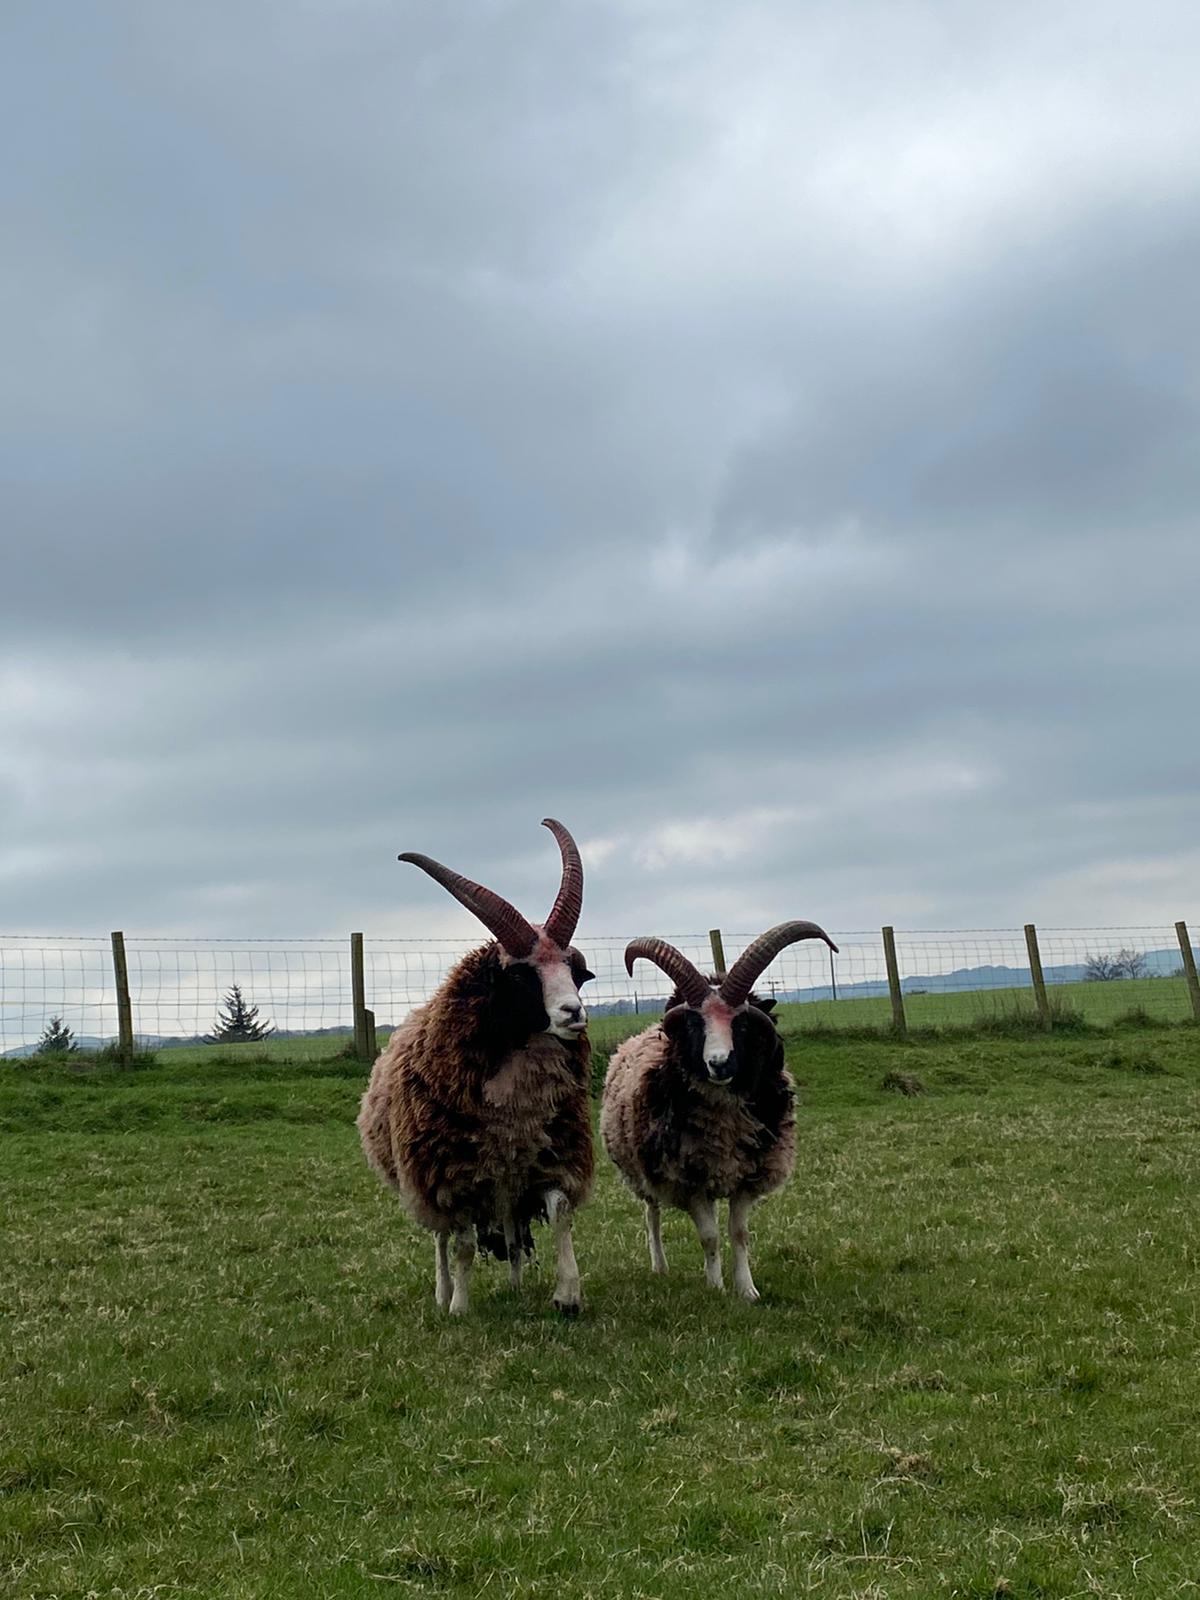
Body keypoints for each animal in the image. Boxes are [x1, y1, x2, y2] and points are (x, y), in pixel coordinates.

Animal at [357, 819, 595, 1316]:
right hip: (426, 1181)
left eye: (575, 973)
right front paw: (460, 1308)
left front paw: (567, 1296)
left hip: (507, 1184)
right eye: (522, 975)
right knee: (443, 1240)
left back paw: (516, 1283)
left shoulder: (550, 1158)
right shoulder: (452, 1177)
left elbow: (561, 1214)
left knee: (511, 1231)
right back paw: (444, 1291)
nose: (573, 1014)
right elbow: (464, 1243)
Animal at [600, 921, 838, 1301]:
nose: (719, 1063)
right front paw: (715, 1287)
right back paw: (659, 1265)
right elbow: (709, 1237)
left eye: (741, 1025)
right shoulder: (690, 1179)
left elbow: (739, 1235)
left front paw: (747, 1290)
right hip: (644, 1169)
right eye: (694, 1025)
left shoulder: (746, 1176)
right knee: (652, 1212)